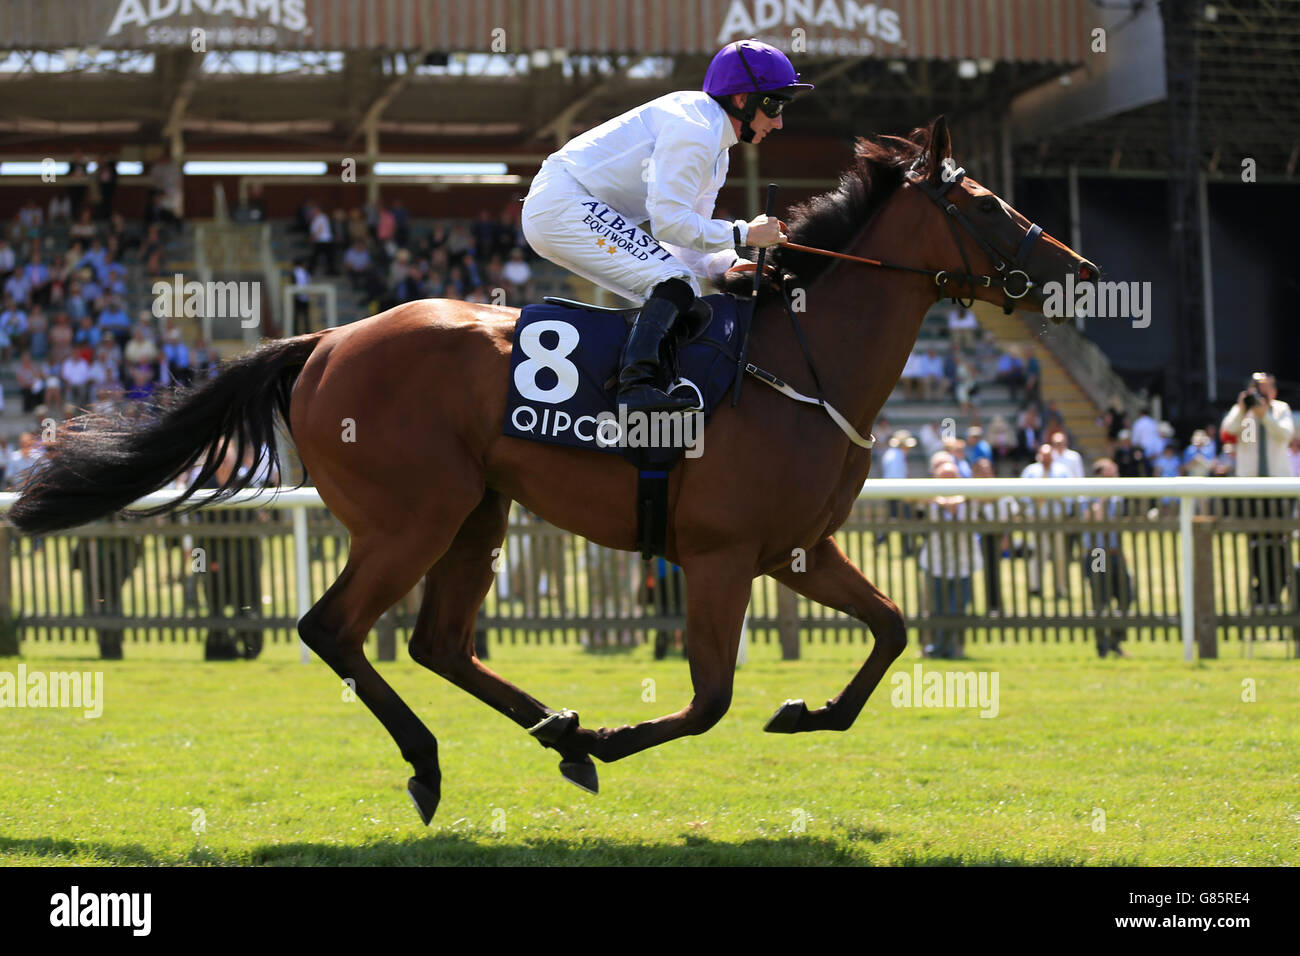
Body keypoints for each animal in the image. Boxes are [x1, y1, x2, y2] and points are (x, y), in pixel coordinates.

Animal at [7, 117, 1097, 822]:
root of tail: (323, 340)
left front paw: (807, 711)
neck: (795, 362)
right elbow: (709, 698)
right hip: (412, 515)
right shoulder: (717, 553)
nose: (1079, 269)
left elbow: (891, 627)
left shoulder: (797, 548)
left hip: (476, 512)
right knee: (334, 628)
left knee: (439, 642)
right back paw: (442, 760)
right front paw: (619, 737)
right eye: (986, 202)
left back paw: (556, 733)